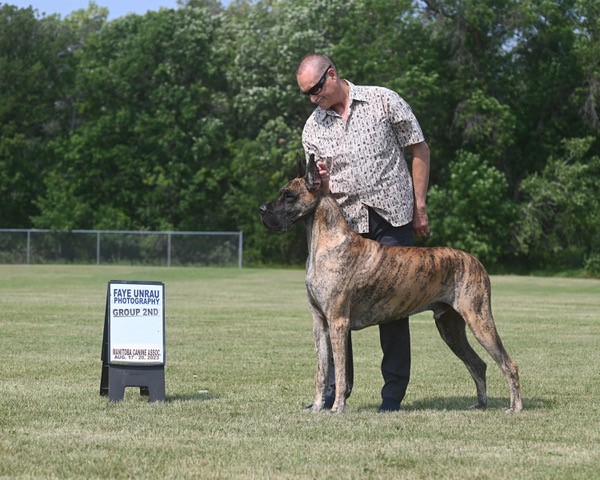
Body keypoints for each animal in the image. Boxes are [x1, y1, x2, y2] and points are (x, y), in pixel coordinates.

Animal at [259, 155, 523, 414]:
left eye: (289, 195)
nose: (261, 209)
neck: (324, 243)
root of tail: (476, 261)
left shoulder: (337, 322)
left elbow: (341, 372)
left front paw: (337, 408)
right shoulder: (320, 323)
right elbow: (322, 371)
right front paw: (317, 406)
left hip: (479, 318)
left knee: (509, 364)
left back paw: (515, 407)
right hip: (450, 328)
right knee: (478, 364)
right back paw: (481, 404)